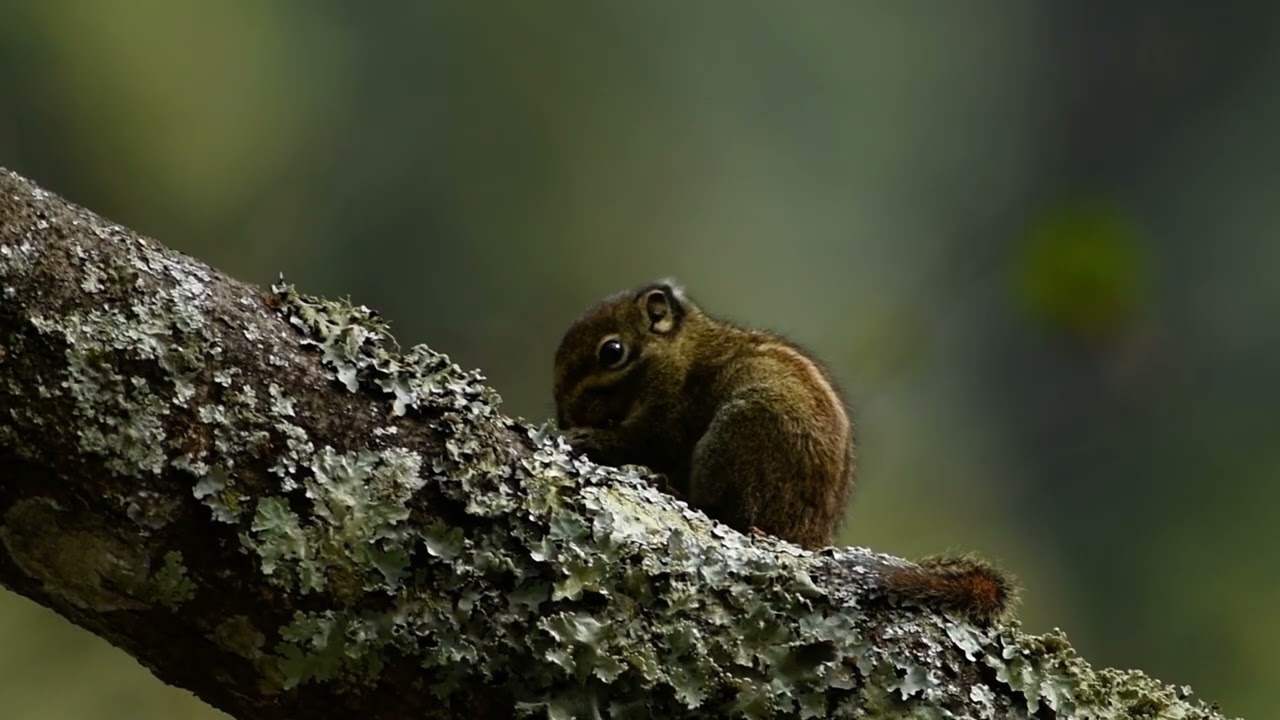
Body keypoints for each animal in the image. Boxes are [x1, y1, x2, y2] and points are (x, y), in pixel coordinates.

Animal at [552, 280, 1017, 625]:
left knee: (728, 513)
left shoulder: (671, 408)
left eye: (612, 352)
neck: (680, 349)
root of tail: (810, 538)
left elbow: (648, 439)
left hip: (739, 436)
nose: (563, 416)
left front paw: (588, 438)